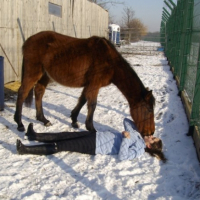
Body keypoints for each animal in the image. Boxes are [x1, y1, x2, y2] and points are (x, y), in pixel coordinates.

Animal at [14, 30, 155, 136]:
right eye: (148, 110)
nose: (151, 132)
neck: (109, 60)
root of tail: (28, 41)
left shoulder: (89, 85)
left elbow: (82, 100)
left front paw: (74, 120)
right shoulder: (94, 85)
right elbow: (92, 105)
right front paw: (91, 128)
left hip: (44, 75)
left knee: (39, 92)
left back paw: (43, 120)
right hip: (33, 73)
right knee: (22, 93)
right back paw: (19, 124)